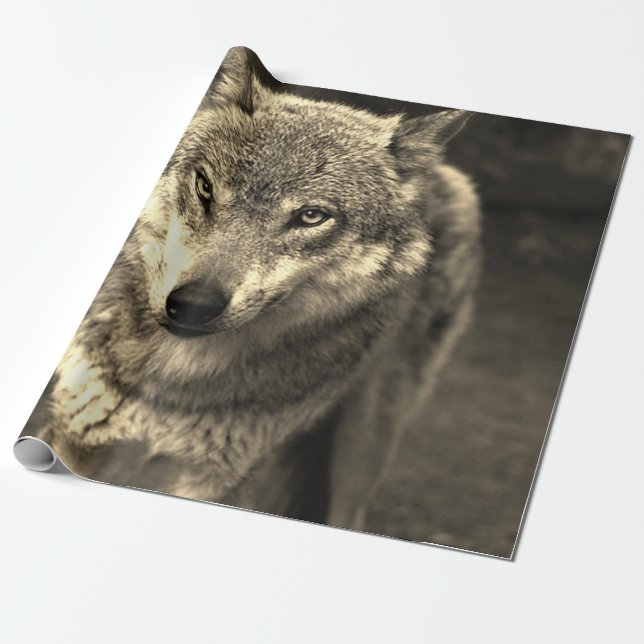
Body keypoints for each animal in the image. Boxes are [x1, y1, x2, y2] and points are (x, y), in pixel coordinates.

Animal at [22, 47, 482, 532]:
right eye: (205, 187)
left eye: (311, 216)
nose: (192, 305)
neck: (172, 381)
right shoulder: (76, 433)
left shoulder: (213, 479)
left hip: (364, 445)